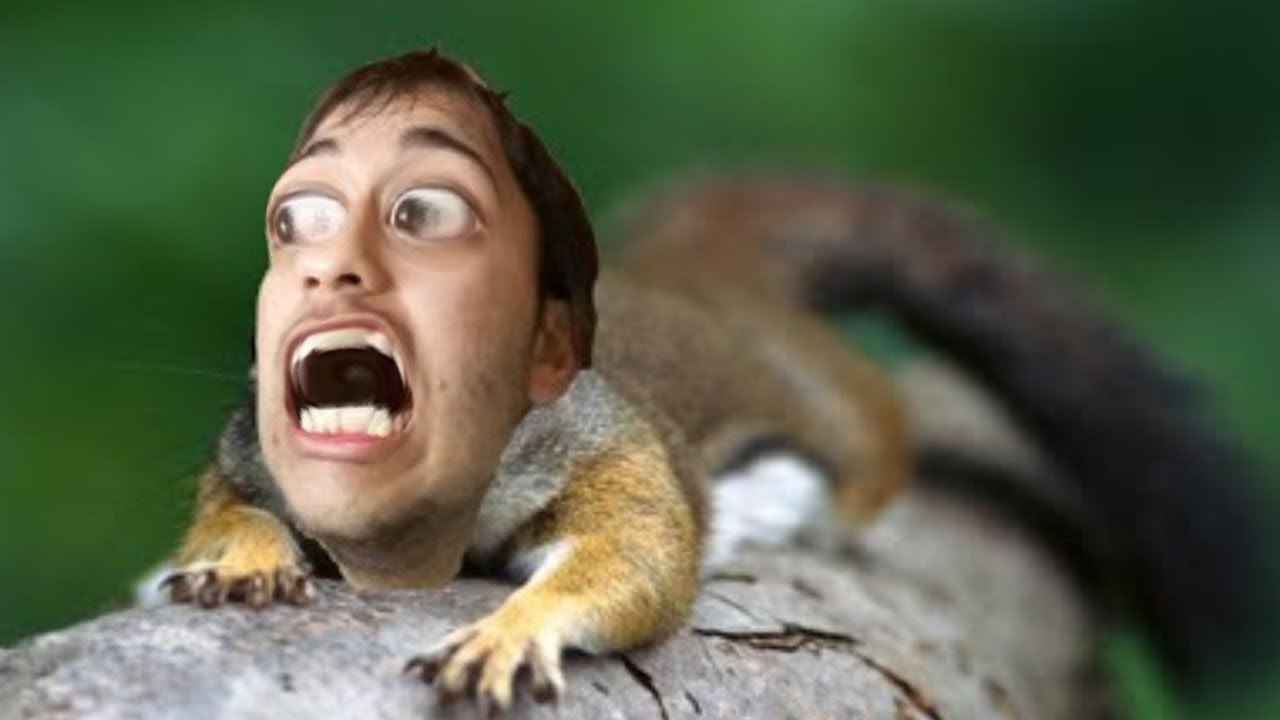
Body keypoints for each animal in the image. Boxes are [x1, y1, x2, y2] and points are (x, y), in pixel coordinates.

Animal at [163, 49, 1277, 710]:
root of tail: (702, 278)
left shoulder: (614, 454)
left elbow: (635, 559)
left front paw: (509, 634)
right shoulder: (244, 462)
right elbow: (224, 510)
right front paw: (240, 559)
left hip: (835, 410)